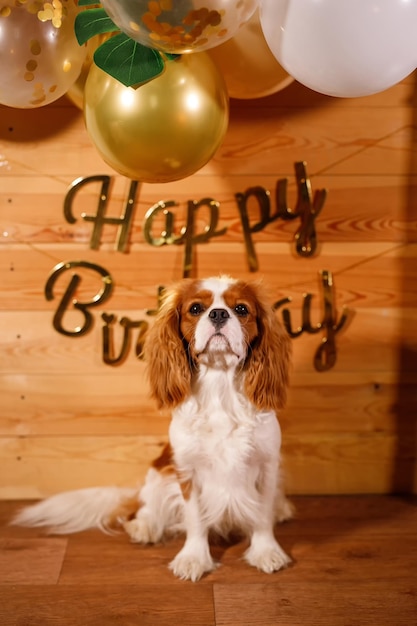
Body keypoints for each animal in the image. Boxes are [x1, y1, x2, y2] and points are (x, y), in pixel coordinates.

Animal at [13, 276, 292, 576]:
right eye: (196, 309)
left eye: (241, 309)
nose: (218, 314)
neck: (220, 387)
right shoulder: (186, 471)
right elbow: (195, 519)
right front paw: (193, 558)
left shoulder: (266, 466)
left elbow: (262, 516)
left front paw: (266, 551)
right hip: (159, 475)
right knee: (147, 506)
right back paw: (144, 526)